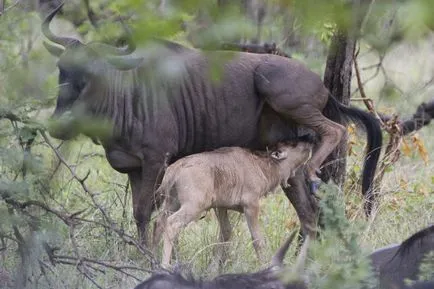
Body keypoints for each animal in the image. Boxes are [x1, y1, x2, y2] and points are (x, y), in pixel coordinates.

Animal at [153, 141, 312, 264]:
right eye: (293, 144)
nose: (310, 143)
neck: (261, 166)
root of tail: (174, 169)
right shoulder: (251, 205)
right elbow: (257, 240)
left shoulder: (220, 207)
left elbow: (225, 234)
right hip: (193, 207)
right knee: (172, 224)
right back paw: (164, 266)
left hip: (172, 203)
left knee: (159, 223)